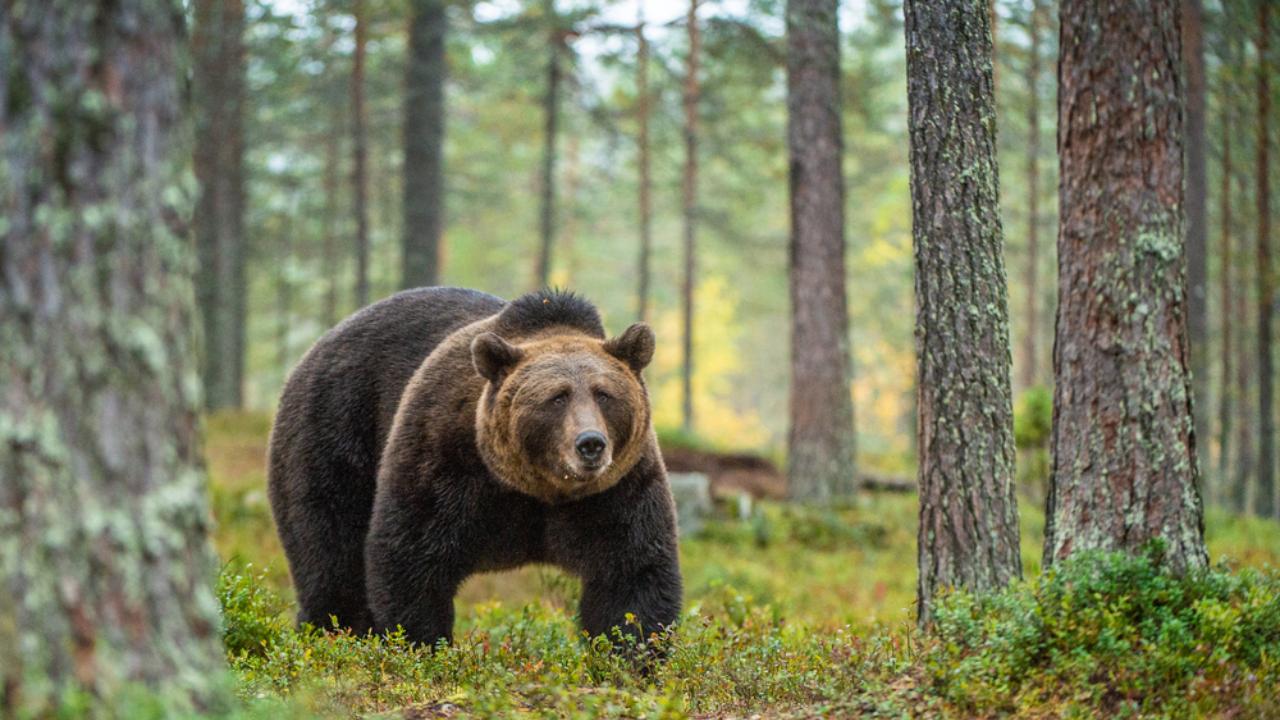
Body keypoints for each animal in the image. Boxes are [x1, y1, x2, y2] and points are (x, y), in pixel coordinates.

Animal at [266, 287, 682, 648]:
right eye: (556, 397)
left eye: (604, 394)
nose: (591, 444)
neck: (540, 489)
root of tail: (320, 344)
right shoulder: (448, 463)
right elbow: (410, 558)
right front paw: (421, 644)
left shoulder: (617, 490)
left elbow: (631, 575)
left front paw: (635, 656)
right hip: (334, 429)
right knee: (329, 551)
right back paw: (331, 633)